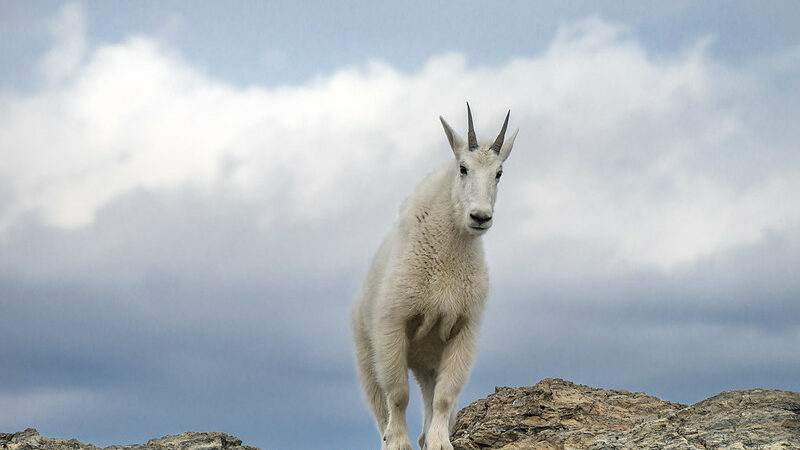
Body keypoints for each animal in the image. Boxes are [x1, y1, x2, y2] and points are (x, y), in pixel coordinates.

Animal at [350, 103, 520, 450]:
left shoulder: (463, 330)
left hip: (428, 361)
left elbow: (444, 396)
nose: (480, 217)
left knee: (431, 396)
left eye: (499, 173)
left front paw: (440, 442)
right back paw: (390, 436)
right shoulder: (393, 325)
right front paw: (398, 443)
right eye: (463, 168)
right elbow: (398, 394)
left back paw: (426, 436)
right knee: (380, 405)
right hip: (366, 354)